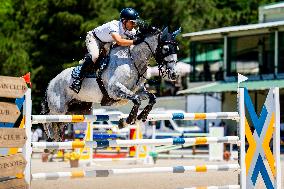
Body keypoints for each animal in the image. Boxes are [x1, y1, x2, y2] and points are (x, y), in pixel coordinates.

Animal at [41, 25, 180, 141]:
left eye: (177, 48)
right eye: (166, 49)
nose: (174, 74)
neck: (133, 60)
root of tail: (51, 82)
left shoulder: (138, 90)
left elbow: (152, 98)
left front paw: (141, 116)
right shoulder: (114, 90)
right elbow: (136, 100)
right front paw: (127, 121)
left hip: (77, 111)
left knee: (59, 123)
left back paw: (57, 138)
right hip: (58, 109)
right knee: (47, 118)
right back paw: (50, 135)